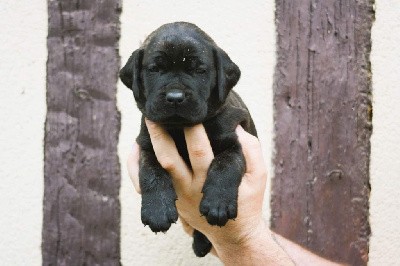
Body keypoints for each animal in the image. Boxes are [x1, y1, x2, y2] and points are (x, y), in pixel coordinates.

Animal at [119, 21, 256, 256]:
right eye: (155, 69)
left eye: (199, 71)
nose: (175, 98)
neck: (180, 129)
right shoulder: (147, 145)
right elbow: (151, 172)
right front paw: (157, 210)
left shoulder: (234, 140)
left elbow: (226, 165)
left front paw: (218, 203)